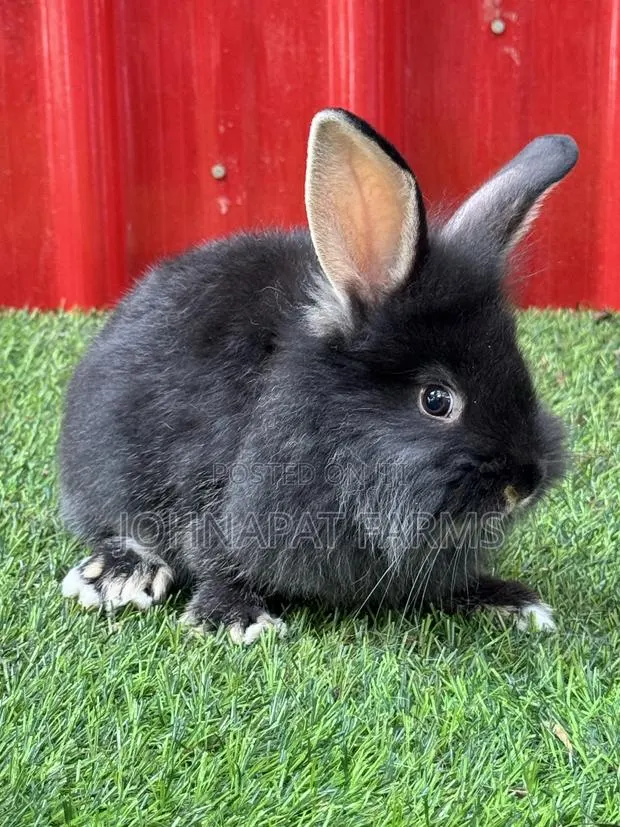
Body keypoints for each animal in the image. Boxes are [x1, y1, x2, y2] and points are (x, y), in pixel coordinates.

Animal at [59, 108, 578, 644]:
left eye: (520, 371)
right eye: (436, 400)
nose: (525, 484)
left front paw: (506, 600)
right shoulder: (221, 502)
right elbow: (217, 560)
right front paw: (236, 619)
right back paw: (118, 575)